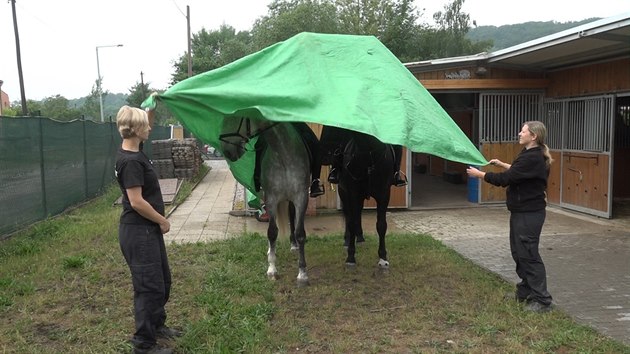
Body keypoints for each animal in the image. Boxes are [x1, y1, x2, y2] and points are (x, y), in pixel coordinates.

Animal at [220, 117, 314, 286]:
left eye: (237, 117)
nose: (227, 151)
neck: (283, 154)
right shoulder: (271, 198)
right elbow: (272, 232)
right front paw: (272, 269)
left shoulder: (301, 197)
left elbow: (300, 233)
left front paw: (302, 275)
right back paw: (271, 251)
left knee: (291, 214)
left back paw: (293, 245)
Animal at [336, 129, 396, 266]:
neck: (369, 156)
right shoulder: (352, 193)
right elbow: (351, 222)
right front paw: (350, 257)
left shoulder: (384, 194)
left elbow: (381, 225)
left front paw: (383, 257)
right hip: (343, 192)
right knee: (348, 215)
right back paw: (347, 240)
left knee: (358, 212)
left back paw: (360, 237)